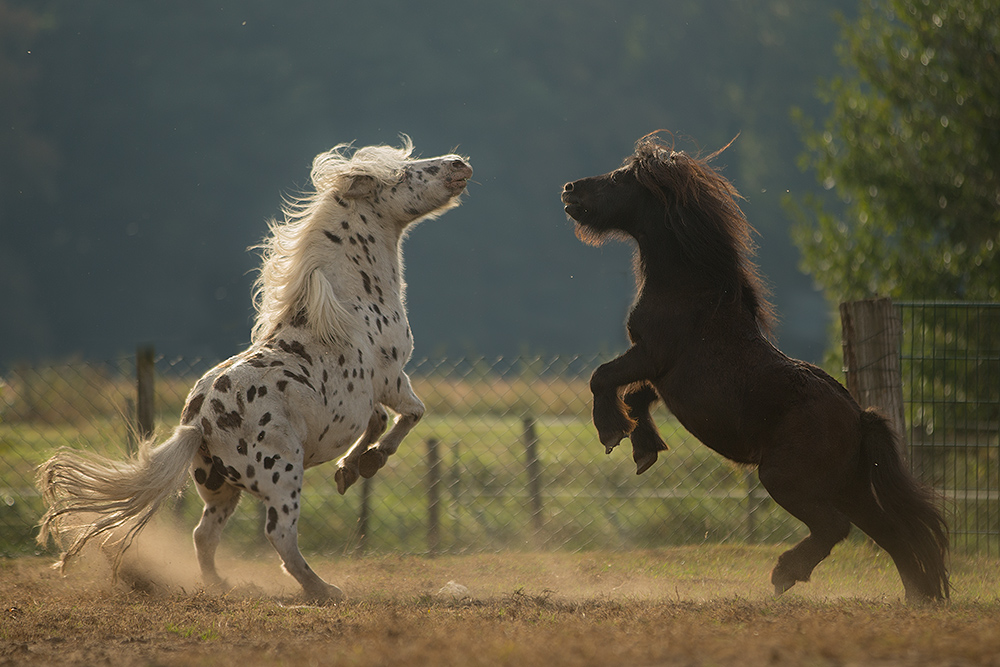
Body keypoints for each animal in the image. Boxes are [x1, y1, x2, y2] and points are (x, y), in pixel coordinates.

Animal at [39, 138, 472, 604]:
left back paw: (221, 585)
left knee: (203, 535)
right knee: (279, 536)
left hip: (219, 490)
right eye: (406, 173)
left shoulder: (363, 397)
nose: (458, 164)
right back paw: (324, 589)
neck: (348, 300)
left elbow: (374, 423)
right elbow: (411, 414)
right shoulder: (392, 378)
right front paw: (370, 462)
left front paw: (349, 470)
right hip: (282, 479)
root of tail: (199, 422)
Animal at [564, 133, 944, 604]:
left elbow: (603, 377)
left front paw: (612, 432)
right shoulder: (661, 373)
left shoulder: (651, 354)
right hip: (849, 487)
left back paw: (786, 574)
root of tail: (860, 417)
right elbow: (635, 394)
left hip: (785, 478)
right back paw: (916, 598)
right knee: (893, 533)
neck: (690, 290)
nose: (569, 190)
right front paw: (645, 449)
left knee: (838, 528)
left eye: (618, 178)